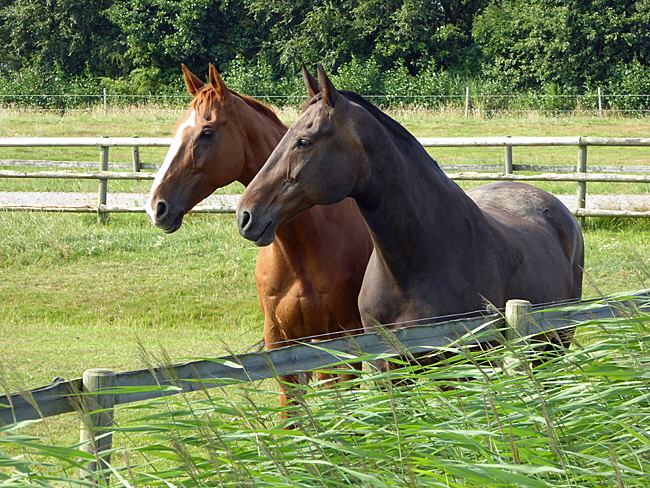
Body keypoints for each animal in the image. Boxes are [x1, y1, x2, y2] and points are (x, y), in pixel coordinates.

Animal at [144, 65, 372, 408]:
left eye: (207, 133)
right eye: (176, 130)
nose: (157, 206)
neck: (301, 251)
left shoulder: (345, 341)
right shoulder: (281, 343)